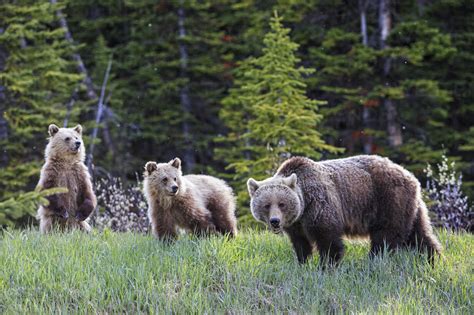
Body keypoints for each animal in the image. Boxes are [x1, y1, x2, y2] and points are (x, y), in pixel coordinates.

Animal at [246, 156, 442, 266]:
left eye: (281, 204)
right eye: (266, 205)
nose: (275, 221)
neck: (304, 205)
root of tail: (411, 176)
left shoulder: (319, 207)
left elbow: (329, 240)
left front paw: (326, 266)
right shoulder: (296, 224)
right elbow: (301, 244)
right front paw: (302, 264)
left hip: (388, 200)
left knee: (386, 237)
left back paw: (374, 260)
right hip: (410, 207)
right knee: (419, 235)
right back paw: (433, 259)